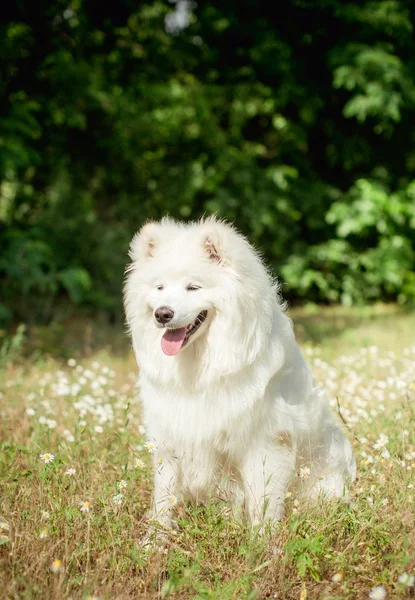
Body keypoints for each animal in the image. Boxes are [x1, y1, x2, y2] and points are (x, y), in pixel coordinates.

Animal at [122, 218, 354, 528]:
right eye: (159, 287)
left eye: (193, 287)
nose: (162, 314)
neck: (201, 368)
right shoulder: (170, 437)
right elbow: (163, 499)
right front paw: (155, 539)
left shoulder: (265, 442)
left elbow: (262, 502)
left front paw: (261, 539)